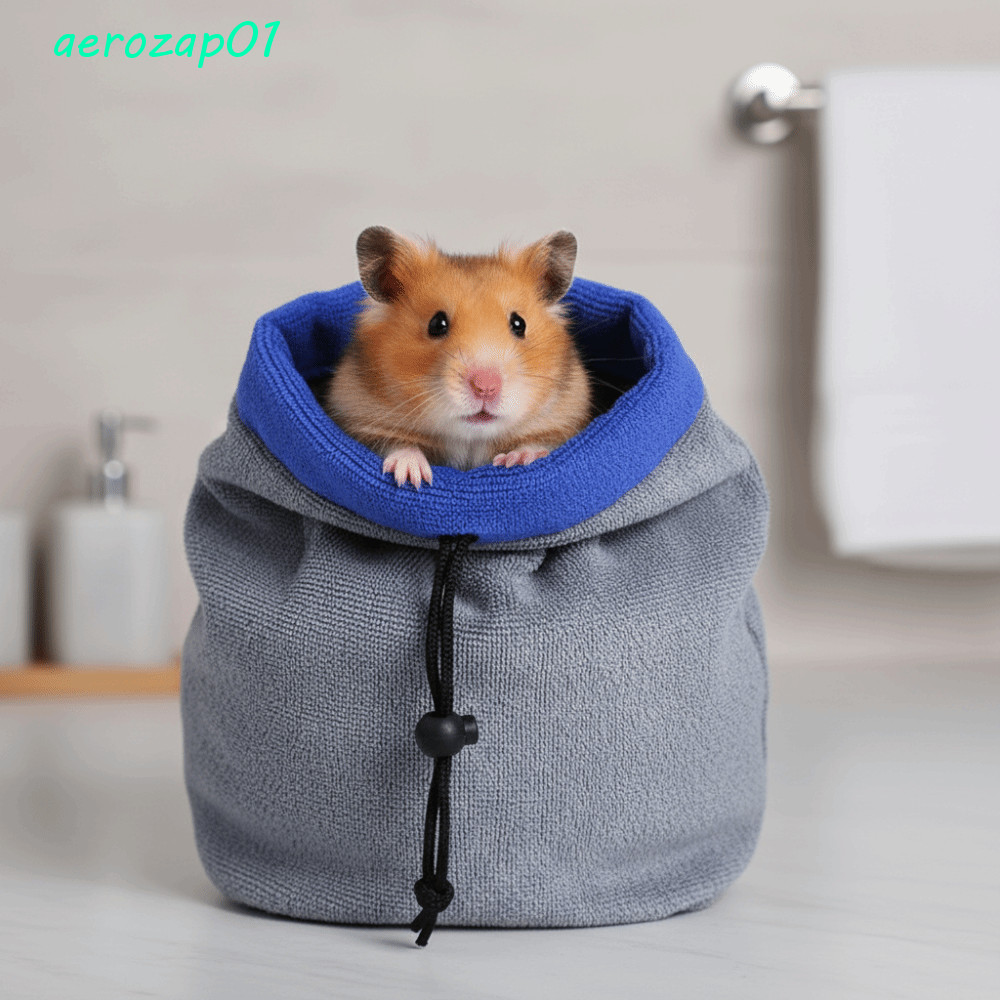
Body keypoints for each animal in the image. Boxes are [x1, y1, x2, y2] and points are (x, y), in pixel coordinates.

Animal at [323, 226, 593, 488]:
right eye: (437, 324)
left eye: (519, 324)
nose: (486, 388)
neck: (470, 439)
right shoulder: (360, 421)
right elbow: (398, 445)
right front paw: (411, 476)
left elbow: (539, 443)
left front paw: (517, 459)